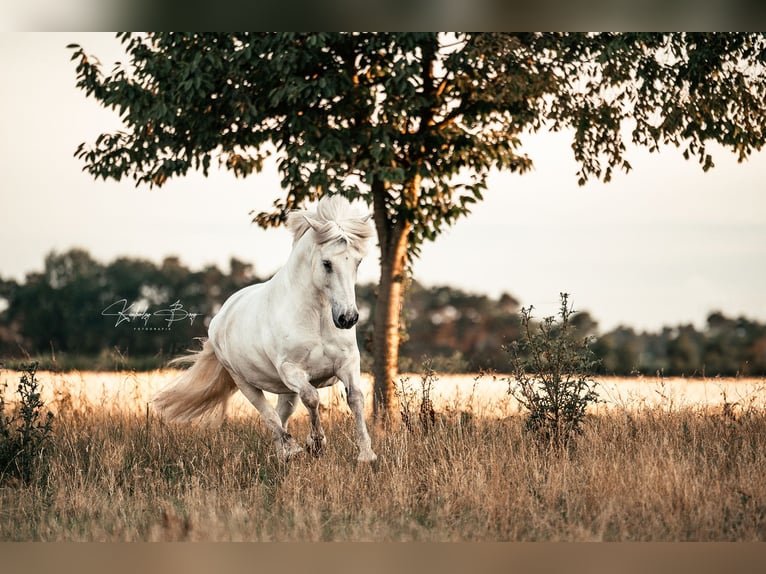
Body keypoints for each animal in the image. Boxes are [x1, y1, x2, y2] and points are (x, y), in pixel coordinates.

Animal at [153, 195, 377, 463]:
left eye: (358, 261)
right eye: (327, 263)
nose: (348, 318)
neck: (317, 319)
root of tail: (221, 316)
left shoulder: (347, 363)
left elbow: (355, 399)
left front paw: (366, 455)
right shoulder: (291, 369)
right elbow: (312, 398)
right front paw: (316, 444)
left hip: (286, 390)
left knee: (282, 414)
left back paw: (284, 456)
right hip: (245, 382)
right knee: (270, 417)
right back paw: (292, 450)